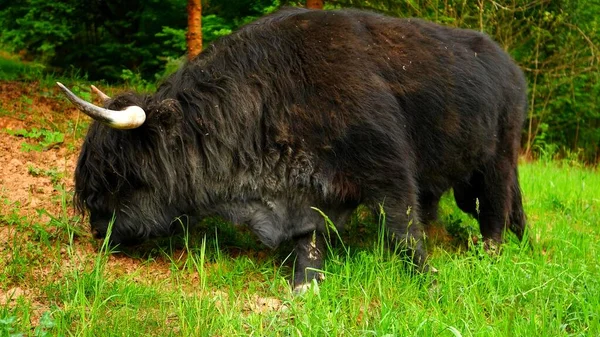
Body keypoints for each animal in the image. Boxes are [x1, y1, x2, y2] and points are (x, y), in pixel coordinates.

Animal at [58, 7, 528, 292]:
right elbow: (310, 239)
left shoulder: (388, 169)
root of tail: (510, 65)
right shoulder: (305, 188)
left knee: (497, 204)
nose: (97, 229)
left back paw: (493, 253)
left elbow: (403, 230)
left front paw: (427, 280)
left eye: (117, 173)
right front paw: (306, 282)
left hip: (498, 156)